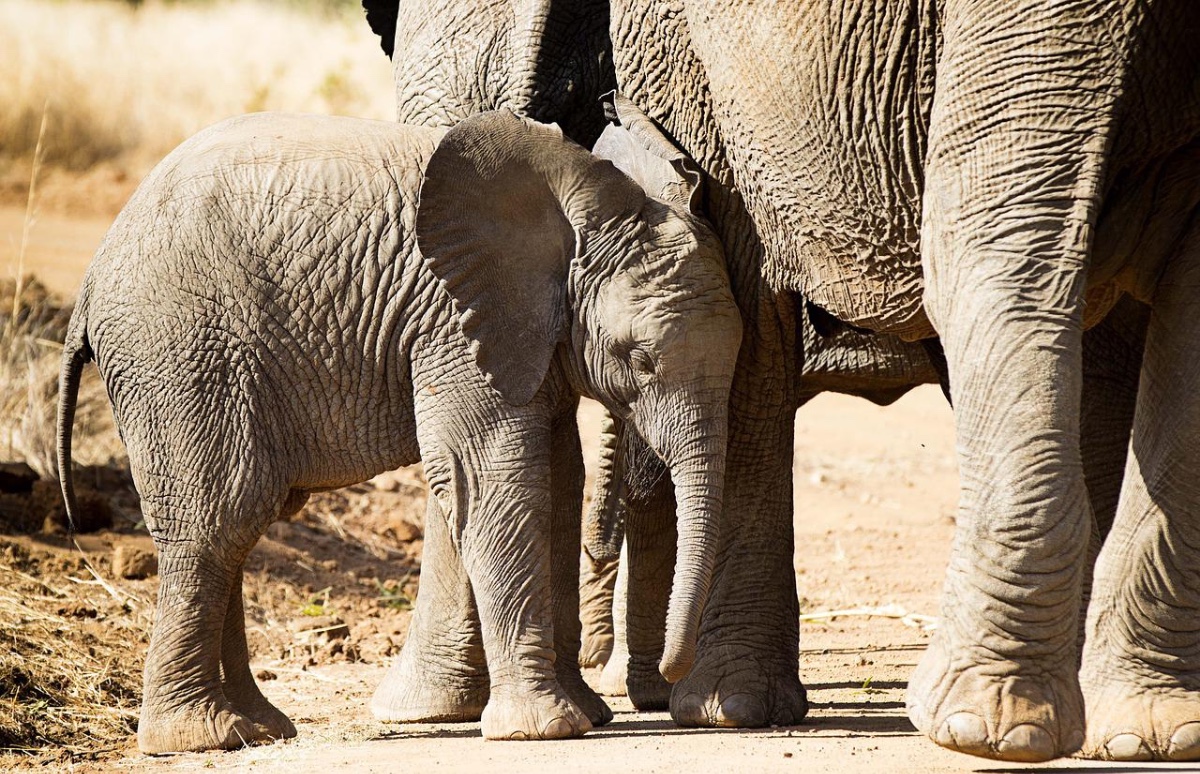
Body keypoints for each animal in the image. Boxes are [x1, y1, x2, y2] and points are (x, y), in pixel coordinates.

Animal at [54, 109, 744, 751]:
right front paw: (548, 730)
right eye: (640, 359)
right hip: (178, 352)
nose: (668, 680)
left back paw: (259, 729)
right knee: (216, 517)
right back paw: (201, 738)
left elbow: (557, 477)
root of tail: (89, 284)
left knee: (237, 527)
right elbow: (494, 474)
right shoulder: (451, 318)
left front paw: (586, 715)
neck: (580, 216)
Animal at [600, 0, 1200, 763]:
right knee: (748, 291)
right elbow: (995, 240)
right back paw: (725, 707)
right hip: (678, 55)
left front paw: (1148, 734)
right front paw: (987, 731)